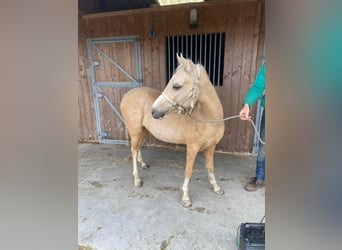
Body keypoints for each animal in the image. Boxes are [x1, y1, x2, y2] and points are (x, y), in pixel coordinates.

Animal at [120, 53, 224, 207]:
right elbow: (188, 171)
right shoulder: (192, 147)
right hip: (135, 130)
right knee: (133, 150)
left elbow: (210, 167)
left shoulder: (211, 147)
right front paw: (186, 197)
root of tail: (126, 95)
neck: (208, 118)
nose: (153, 111)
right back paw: (137, 179)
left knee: (138, 147)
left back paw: (143, 164)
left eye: (176, 86)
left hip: (144, 131)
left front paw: (216, 187)